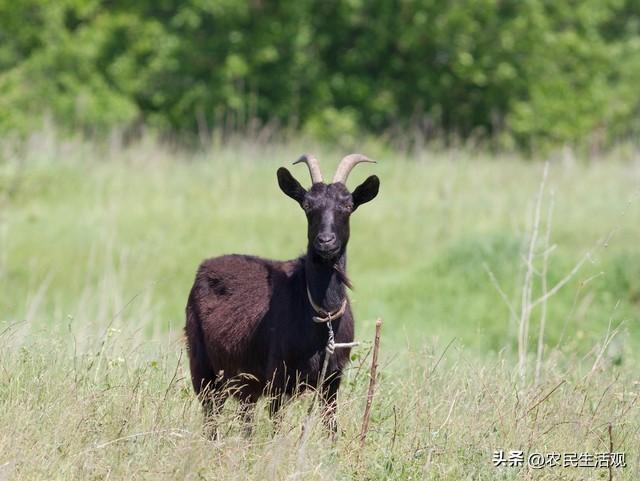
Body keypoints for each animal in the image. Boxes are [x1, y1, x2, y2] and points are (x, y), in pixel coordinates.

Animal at [184, 154, 380, 432]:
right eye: (307, 205)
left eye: (348, 205)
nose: (325, 241)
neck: (323, 316)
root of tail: (204, 267)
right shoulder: (278, 377)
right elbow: (277, 427)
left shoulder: (332, 379)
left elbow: (331, 427)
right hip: (203, 368)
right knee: (212, 416)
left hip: (246, 382)